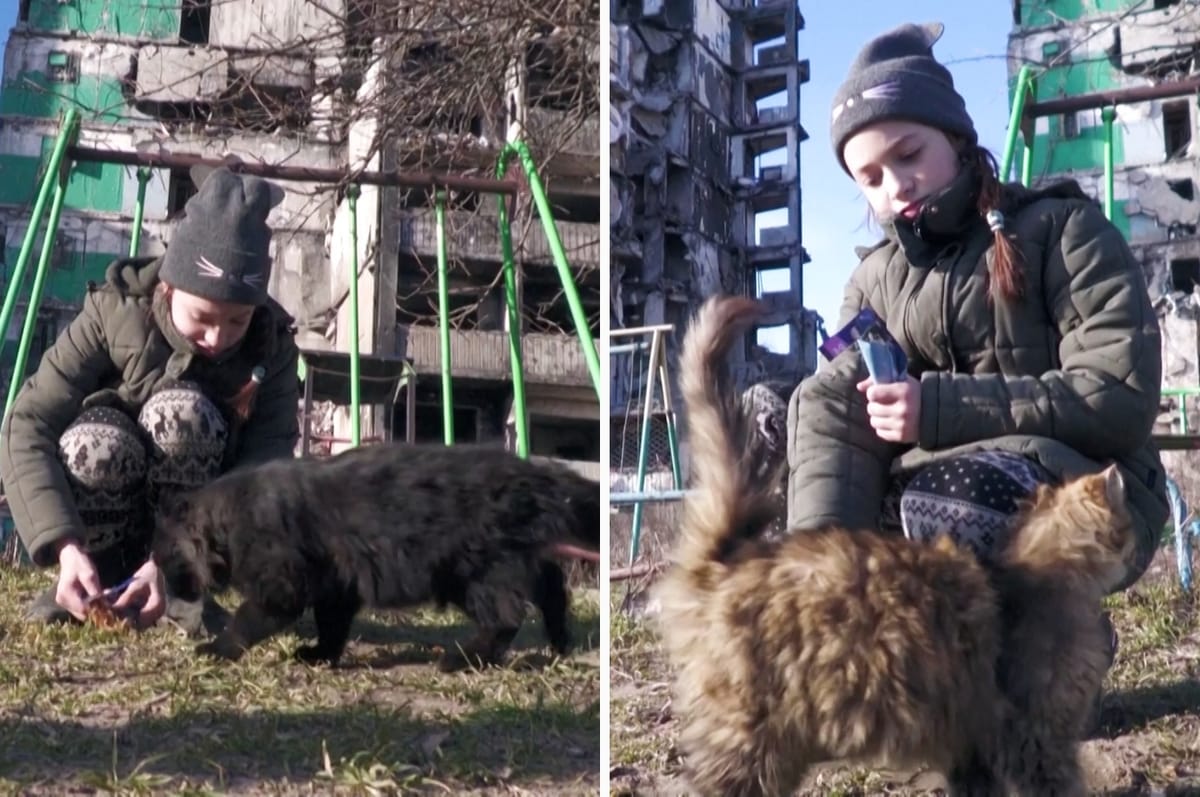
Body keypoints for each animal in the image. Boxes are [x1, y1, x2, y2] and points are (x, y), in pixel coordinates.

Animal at [657, 297, 1132, 797]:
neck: (1038, 566)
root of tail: (727, 560)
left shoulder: (973, 748)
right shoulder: (1035, 737)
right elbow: (1059, 782)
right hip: (750, 743)